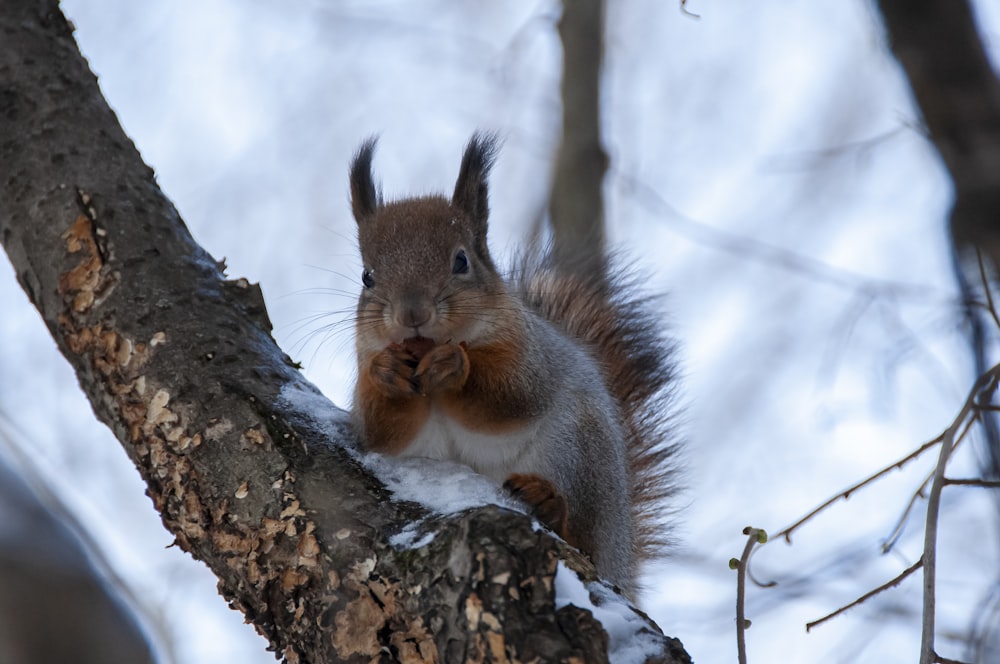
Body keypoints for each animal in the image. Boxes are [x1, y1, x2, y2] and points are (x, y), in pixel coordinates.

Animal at [346, 132, 680, 600]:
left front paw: (456, 365)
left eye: (462, 261)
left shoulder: (530, 355)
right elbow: (379, 430)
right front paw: (386, 372)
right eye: (367, 277)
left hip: (581, 451)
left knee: (583, 536)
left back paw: (550, 504)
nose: (413, 314)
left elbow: (511, 397)